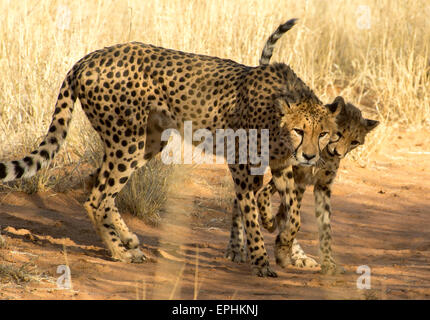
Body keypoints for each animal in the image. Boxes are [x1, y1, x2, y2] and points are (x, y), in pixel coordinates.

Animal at [0, 24, 342, 278]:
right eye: (299, 130)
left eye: (323, 133)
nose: (310, 155)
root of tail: (89, 57)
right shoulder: (242, 163)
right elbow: (251, 212)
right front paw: (261, 259)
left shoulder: (281, 164)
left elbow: (293, 213)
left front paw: (283, 243)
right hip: (129, 140)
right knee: (97, 196)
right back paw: (120, 253)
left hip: (149, 140)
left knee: (96, 185)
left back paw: (128, 242)